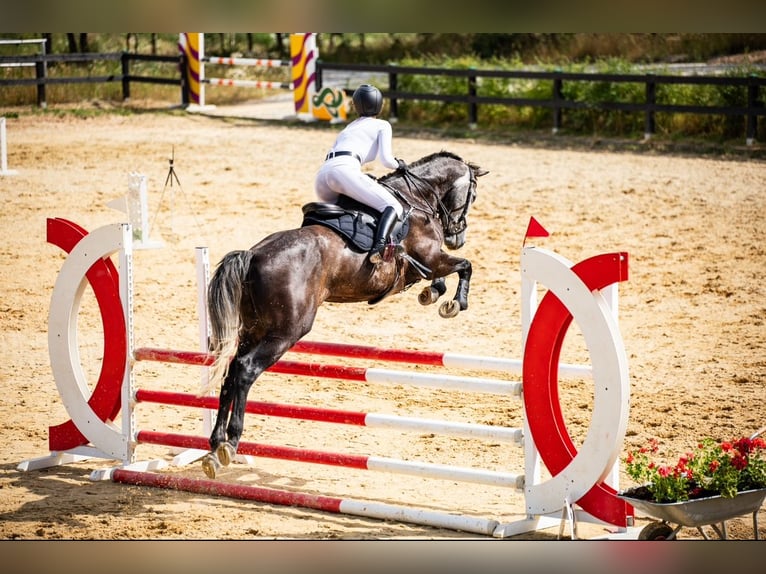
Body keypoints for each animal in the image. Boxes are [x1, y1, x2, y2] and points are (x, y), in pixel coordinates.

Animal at [201, 151, 488, 480]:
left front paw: (433, 293)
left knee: (230, 371)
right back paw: (232, 441)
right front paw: (455, 303)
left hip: (253, 329)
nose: (457, 238)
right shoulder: (431, 258)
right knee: (246, 369)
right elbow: (465, 266)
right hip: (286, 332)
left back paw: (215, 447)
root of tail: (253, 255)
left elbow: (441, 276)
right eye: (472, 196)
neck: (417, 198)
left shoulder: (424, 265)